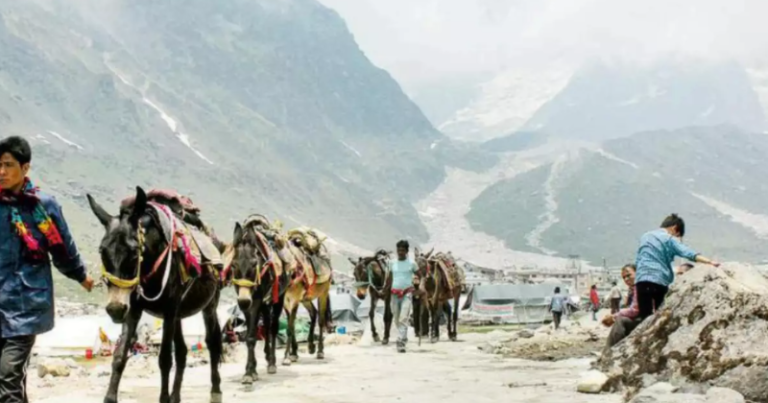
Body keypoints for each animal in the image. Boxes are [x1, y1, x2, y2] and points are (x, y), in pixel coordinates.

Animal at [89, 189, 225, 403]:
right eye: (102, 251)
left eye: (134, 252)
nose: (115, 310)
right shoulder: (134, 309)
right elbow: (120, 355)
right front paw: (110, 398)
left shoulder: (168, 310)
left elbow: (164, 359)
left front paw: (163, 398)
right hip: (178, 314)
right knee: (182, 351)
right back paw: (176, 396)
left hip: (209, 305)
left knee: (212, 342)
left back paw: (215, 389)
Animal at [230, 218, 290, 386]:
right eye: (234, 265)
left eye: (253, 264)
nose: (244, 301)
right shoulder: (248, 304)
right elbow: (251, 334)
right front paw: (253, 370)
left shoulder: (255, 302)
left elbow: (251, 337)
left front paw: (249, 373)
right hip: (264, 303)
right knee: (267, 325)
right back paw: (267, 358)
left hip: (278, 298)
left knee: (273, 327)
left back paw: (272, 363)